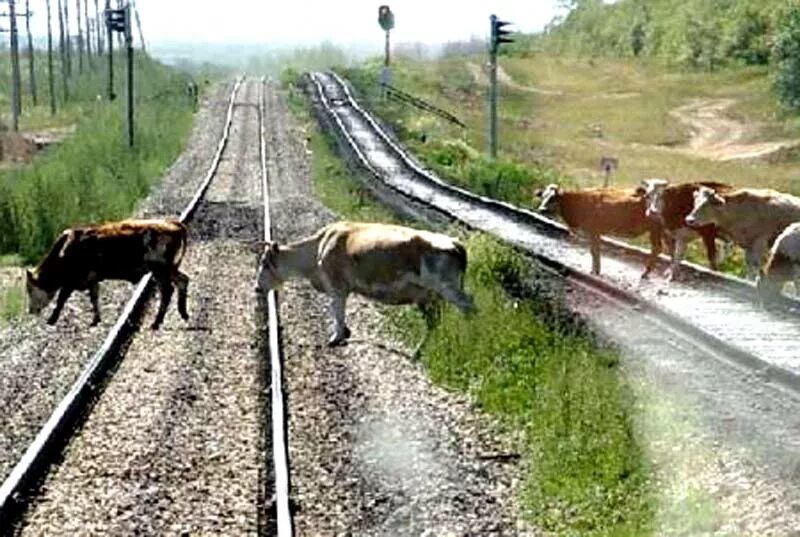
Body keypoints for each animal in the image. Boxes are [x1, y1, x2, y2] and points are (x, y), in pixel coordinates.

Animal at [25, 217, 191, 326]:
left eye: (29, 289)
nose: (30, 311)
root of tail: (173, 223)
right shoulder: (92, 280)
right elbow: (94, 298)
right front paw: (96, 319)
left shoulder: (71, 282)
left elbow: (61, 300)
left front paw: (51, 319)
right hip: (168, 269)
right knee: (183, 281)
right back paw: (183, 313)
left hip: (161, 270)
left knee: (168, 291)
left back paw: (157, 322)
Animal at [255, 220, 476, 346]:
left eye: (265, 263)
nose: (257, 288)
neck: (319, 245)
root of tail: (456, 243)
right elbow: (337, 311)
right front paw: (345, 333)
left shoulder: (337, 286)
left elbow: (337, 311)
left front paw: (336, 337)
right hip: (429, 296)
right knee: (434, 322)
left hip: (448, 288)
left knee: (468, 306)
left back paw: (469, 337)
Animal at [536, 183, 664, 276]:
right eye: (543, 196)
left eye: (553, 198)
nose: (542, 209)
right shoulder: (595, 232)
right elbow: (595, 251)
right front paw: (596, 270)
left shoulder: (593, 231)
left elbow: (594, 251)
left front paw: (594, 271)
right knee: (657, 249)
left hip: (656, 229)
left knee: (657, 248)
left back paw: (646, 273)